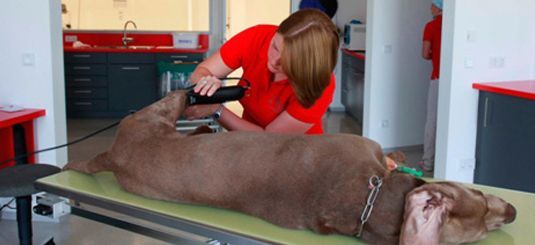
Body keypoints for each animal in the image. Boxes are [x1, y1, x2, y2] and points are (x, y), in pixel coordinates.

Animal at [65, 90, 516, 245]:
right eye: (478, 195)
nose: (512, 210)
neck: (372, 196)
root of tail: (114, 153)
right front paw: (403, 158)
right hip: (155, 111)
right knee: (181, 94)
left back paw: (206, 123)